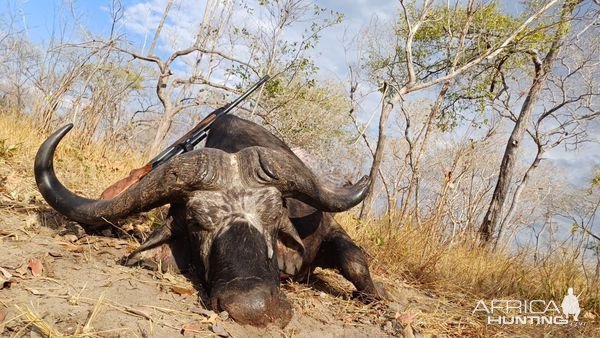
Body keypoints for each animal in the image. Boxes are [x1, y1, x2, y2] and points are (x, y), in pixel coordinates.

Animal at [35, 115, 384, 326]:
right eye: (196, 223)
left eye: (273, 217)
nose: (252, 308)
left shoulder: (329, 230)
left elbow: (354, 259)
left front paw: (375, 298)